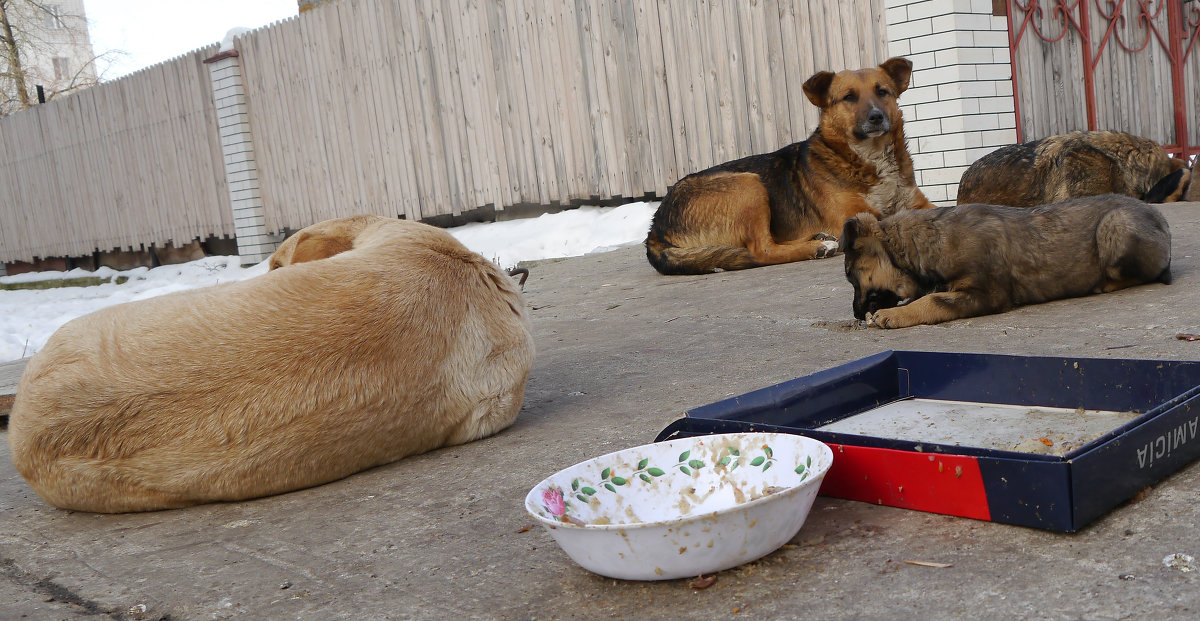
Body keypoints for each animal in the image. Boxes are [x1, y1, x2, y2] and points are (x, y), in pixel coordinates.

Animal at [648, 56, 936, 275]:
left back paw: (819, 238)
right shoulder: (854, 215)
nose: (876, 117)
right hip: (748, 184)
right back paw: (817, 248)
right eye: (849, 97)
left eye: (882, 91)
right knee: (762, 250)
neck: (868, 157)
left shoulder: (917, 203)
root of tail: (655, 228)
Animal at [840, 194, 1166, 330]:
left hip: (1115, 225)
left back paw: (1105, 284)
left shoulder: (987, 293)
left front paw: (891, 315)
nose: (856, 315)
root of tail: (1160, 219)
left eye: (851, 275)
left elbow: (933, 300)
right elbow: (929, 295)